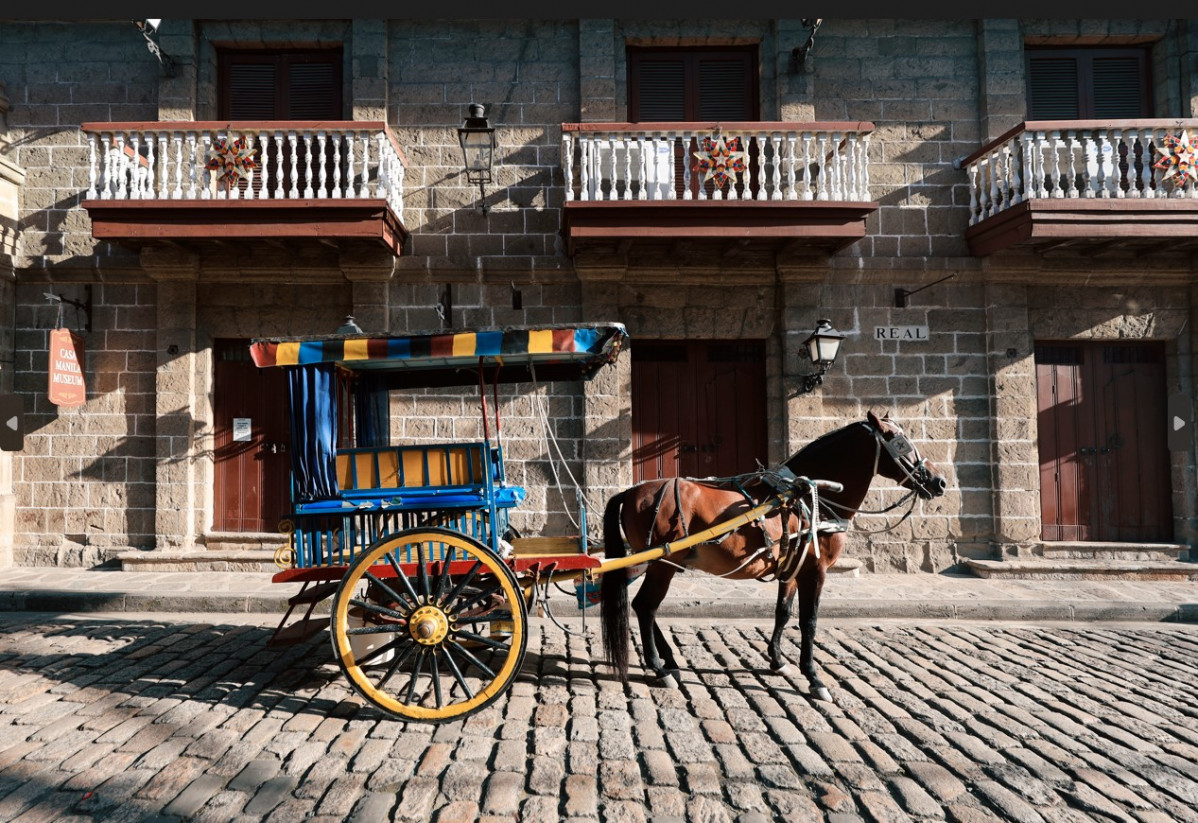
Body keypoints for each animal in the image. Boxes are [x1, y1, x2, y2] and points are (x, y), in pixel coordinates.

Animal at [599, 412, 944, 699]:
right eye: (900, 441)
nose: (937, 481)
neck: (811, 497)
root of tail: (631, 492)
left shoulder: (792, 569)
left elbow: (783, 613)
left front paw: (777, 660)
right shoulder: (816, 570)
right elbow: (809, 621)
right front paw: (813, 677)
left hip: (655, 563)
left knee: (643, 605)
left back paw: (668, 659)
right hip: (660, 562)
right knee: (645, 606)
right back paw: (660, 668)